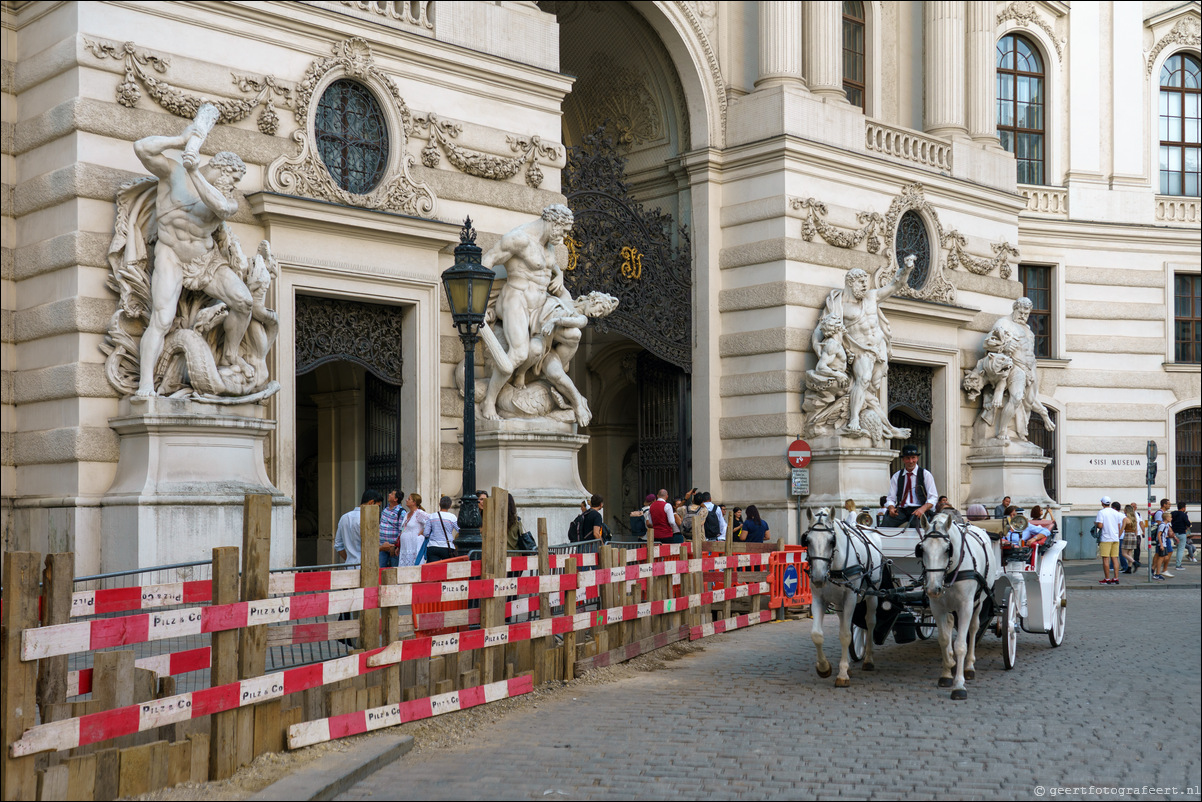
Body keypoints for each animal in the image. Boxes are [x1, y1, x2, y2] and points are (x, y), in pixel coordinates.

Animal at [807, 512, 884, 687]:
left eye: (831, 541)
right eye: (807, 540)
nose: (818, 578)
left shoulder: (850, 598)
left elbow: (846, 635)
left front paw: (842, 674)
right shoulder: (819, 599)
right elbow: (817, 634)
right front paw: (824, 667)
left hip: (871, 594)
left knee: (870, 622)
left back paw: (868, 660)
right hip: (839, 603)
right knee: (845, 624)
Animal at [913, 512, 1000, 697]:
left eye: (948, 549)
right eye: (921, 549)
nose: (932, 588)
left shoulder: (965, 606)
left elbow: (961, 644)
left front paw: (959, 685)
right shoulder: (937, 607)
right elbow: (944, 639)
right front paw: (946, 673)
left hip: (977, 602)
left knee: (973, 629)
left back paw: (969, 666)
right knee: (951, 624)